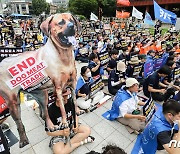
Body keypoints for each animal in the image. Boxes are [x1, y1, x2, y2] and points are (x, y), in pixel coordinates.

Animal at [0, 13, 80, 148]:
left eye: (72, 20)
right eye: (61, 22)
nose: (72, 26)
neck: (63, 54)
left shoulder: (73, 84)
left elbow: (74, 100)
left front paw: (77, 111)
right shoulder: (58, 88)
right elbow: (63, 109)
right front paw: (64, 123)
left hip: (42, 94)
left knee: (44, 113)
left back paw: (51, 126)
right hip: (13, 102)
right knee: (19, 122)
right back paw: (23, 140)